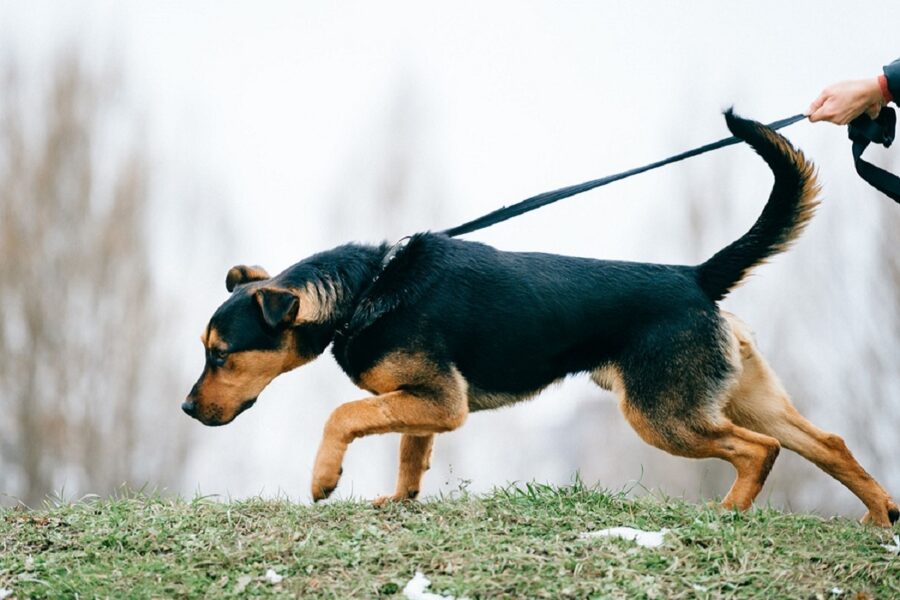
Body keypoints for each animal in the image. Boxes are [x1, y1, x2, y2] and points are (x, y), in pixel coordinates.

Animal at [183, 111, 900, 524]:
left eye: (221, 354)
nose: (188, 410)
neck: (363, 290)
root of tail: (695, 276)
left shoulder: (438, 399)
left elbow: (344, 417)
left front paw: (324, 479)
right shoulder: (425, 403)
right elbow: (410, 453)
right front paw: (400, 500)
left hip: (663, 414)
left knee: (761, 450)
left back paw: (729, 514)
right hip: (741, 397)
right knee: (826, 443)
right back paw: (878, 516)